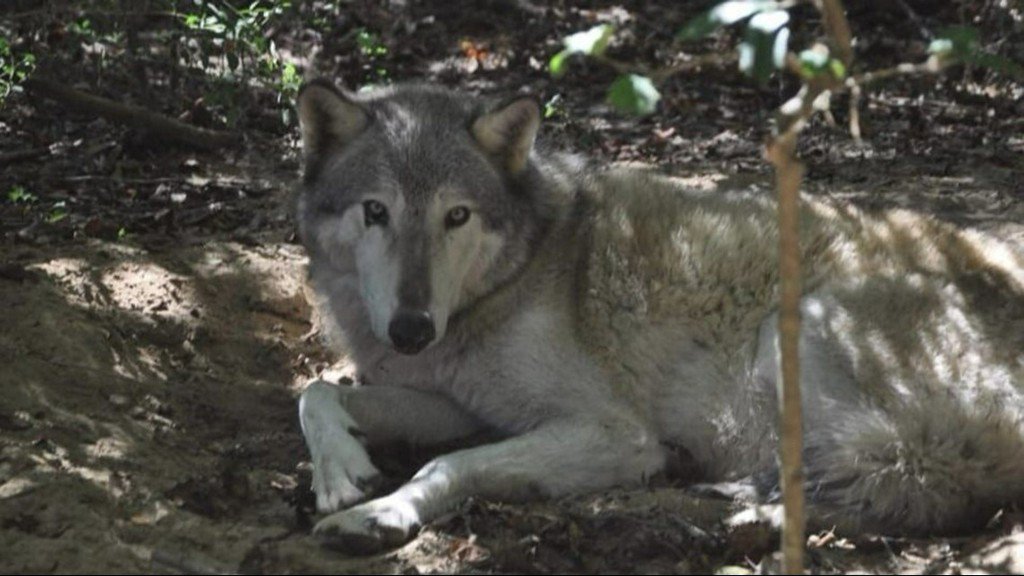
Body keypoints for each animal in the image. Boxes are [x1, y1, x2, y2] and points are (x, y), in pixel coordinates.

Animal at [292, 78, 1024, 549]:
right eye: (376, 211)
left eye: (457, 216)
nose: (411, 330)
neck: (522, 268)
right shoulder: (460, 405)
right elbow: (317, 391)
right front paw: (341, 471)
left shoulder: (615, 434)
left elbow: (445, 465)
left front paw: (380, 514)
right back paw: (742, 505)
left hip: (798, 326)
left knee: (920, 482)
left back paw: (745, 509)